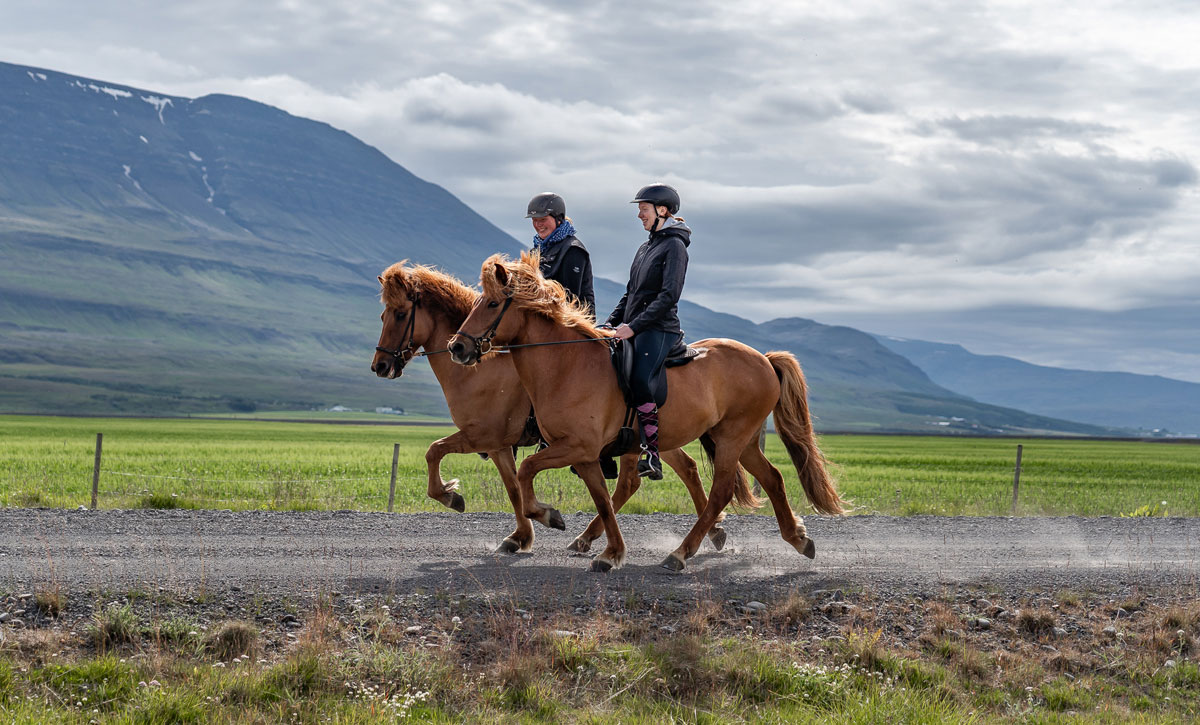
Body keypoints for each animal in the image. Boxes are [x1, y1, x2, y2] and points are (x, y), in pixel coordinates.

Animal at [369, 262, 724, 552]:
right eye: (382, 315)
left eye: (400, 314)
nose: (380, 366)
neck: (483, 370)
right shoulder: (500, 445)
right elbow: (513, 487)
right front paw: (520, 536)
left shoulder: (483, 435)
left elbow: (434, 451)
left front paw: (451, 496)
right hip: (655, 437)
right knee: (682, 469)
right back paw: (712, 532)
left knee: (640, 480)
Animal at [448, 253, 844, 571]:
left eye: (492, 304)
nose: (457, 347)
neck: (565, 365)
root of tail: (763, 358)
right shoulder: (586, 455)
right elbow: (602, 500)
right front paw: (609, 553)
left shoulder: (575, 447)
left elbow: (527, 470)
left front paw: (549, 516)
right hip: (738, 440)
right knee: (772, 478)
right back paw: (798, 539)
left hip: (732, 437)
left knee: (720, 491)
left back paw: (680, 554)